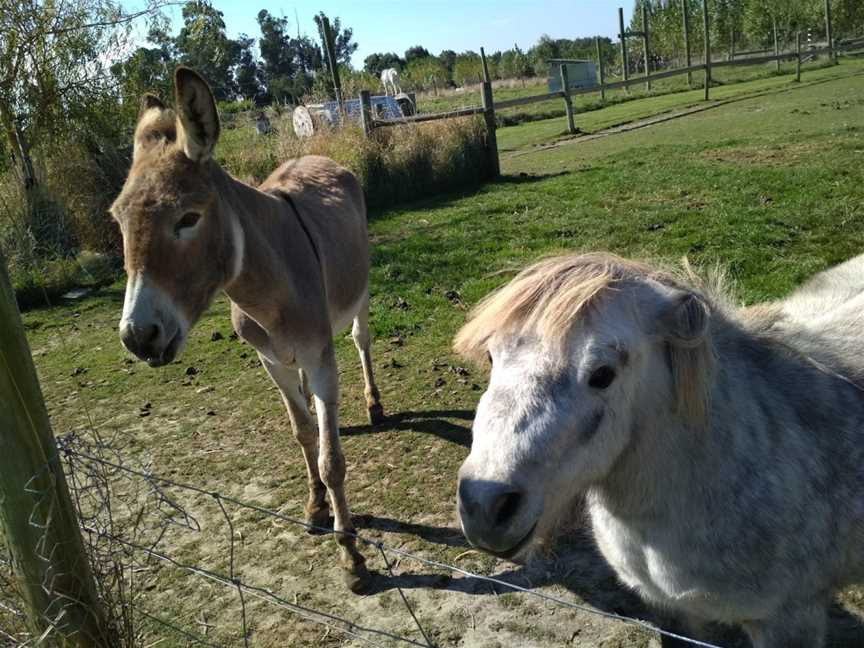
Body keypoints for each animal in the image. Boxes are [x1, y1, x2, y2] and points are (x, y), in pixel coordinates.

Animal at [110, 67, 382, 592]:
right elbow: (302, 431)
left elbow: (332, 461)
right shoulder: (270, 360)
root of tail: (315, 154)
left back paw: (374, 404)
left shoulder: (320, 357)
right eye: (119, 219)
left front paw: (351, 555)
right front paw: (315, 507)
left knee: (360, 341)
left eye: (188, 218)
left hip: (358, 297)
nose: (137, 337)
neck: (264, 288)